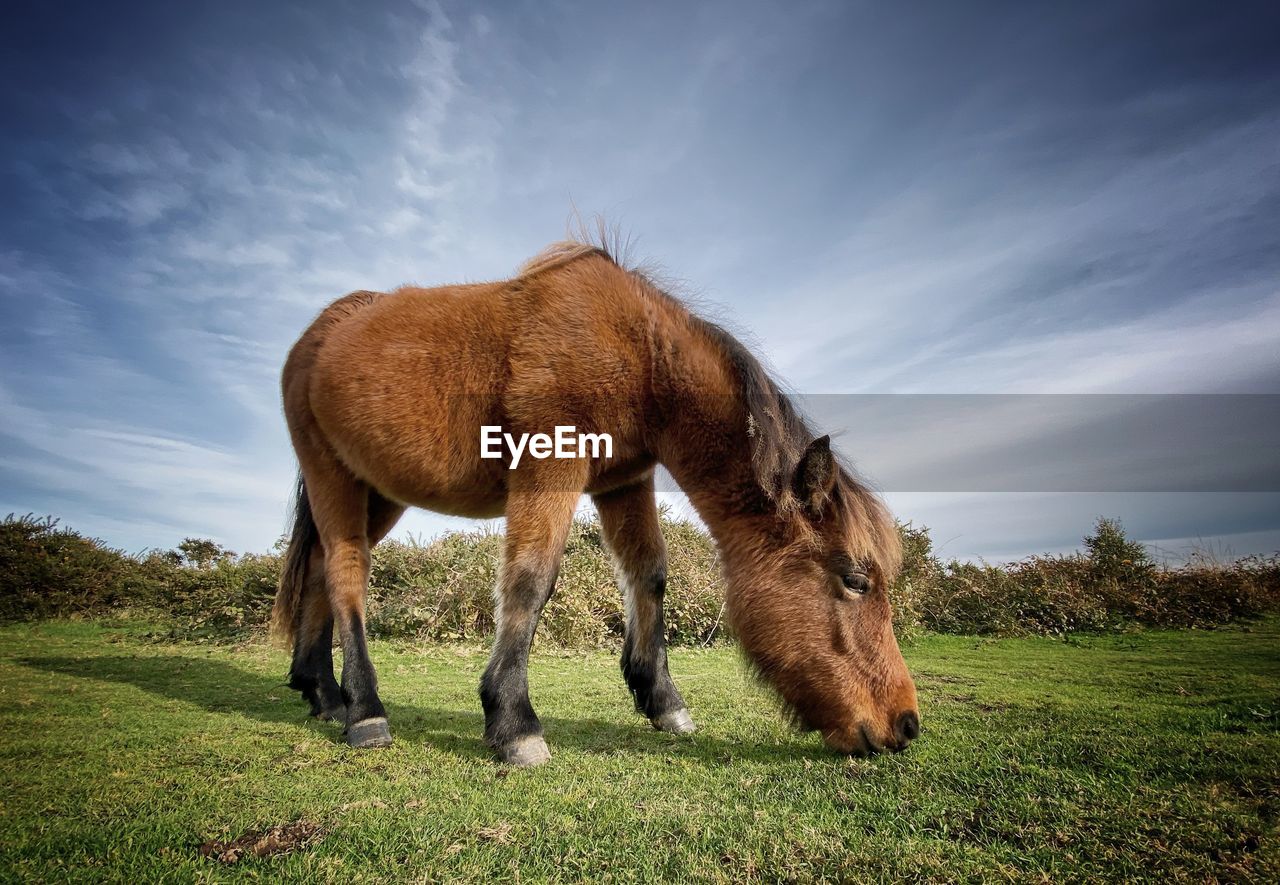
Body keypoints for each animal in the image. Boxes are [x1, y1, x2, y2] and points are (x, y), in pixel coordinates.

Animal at [275, 236, 921, 768]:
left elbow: (649, 574)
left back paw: (322, 691)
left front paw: (661, 699)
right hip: (333, 475)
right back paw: (365, 711)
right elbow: (532, 579)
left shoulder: (622, 483)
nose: (906, 725)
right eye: (856, 580)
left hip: (377, 492)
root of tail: (321, 332)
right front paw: (513, 721)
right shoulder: (551, 463)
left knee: (319, 568)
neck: (640, 354)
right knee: (347, 570)